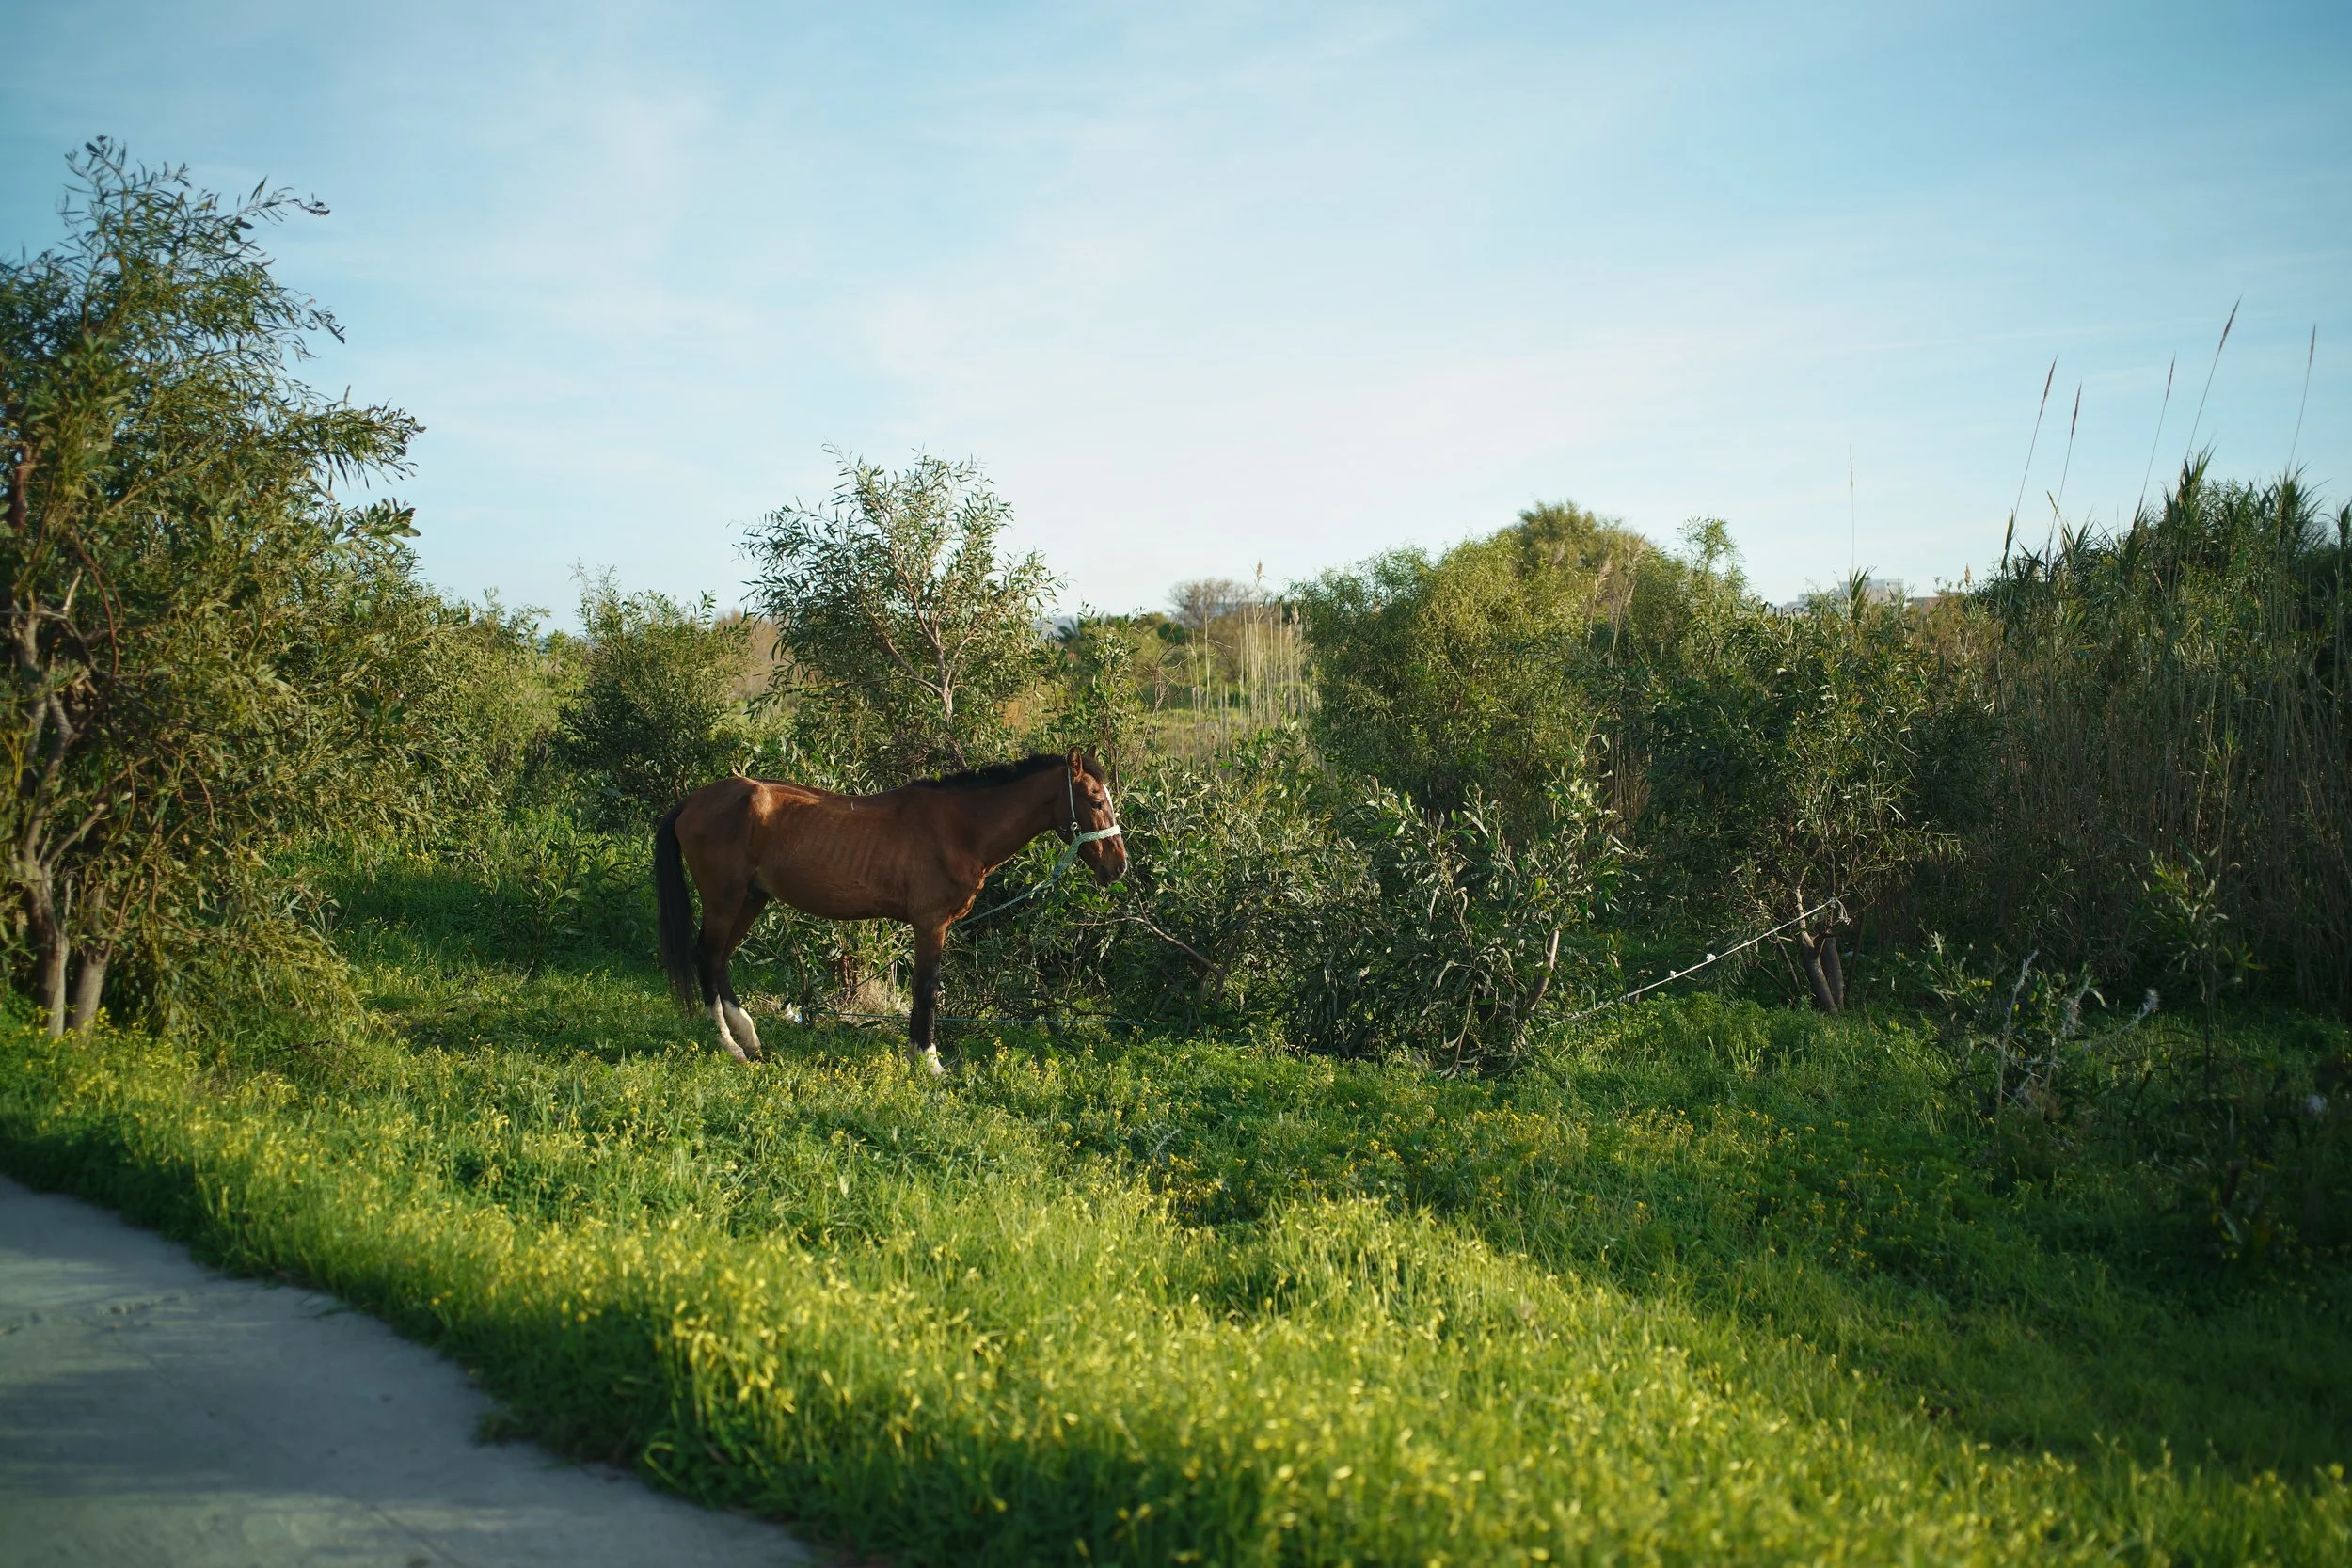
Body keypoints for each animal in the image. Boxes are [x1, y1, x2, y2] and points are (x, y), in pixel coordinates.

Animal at [652, 749, 1126, 1074]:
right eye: (1094, 800)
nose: (1118, 866)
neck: (959, 828)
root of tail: (692, 801)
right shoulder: (930, 924)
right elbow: (928, 989)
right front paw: (929, 1061)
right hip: (725, 900)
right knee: (707, 956)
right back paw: (731, 1046)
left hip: (751, 900)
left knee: (719, 960)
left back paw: (749, 1040)